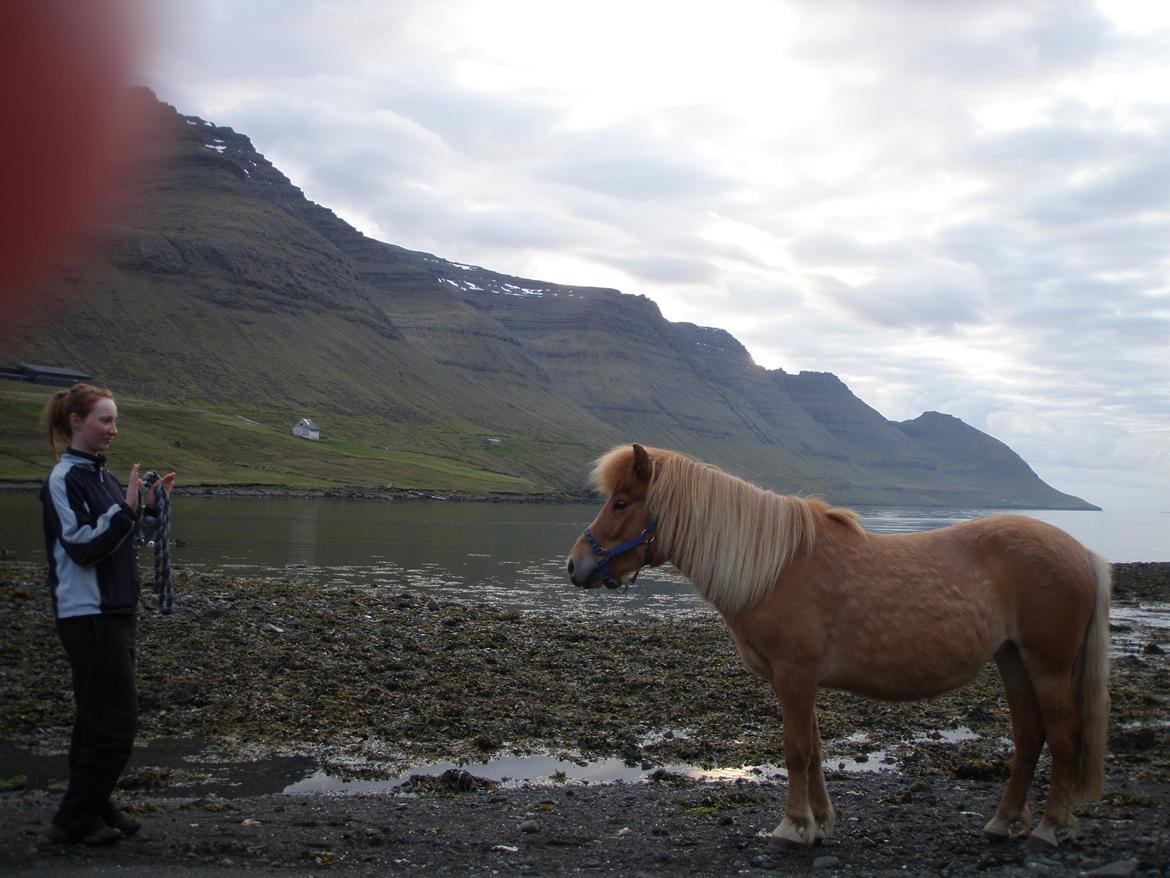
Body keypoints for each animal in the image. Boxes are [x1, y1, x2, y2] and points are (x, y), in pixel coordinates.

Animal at [568, 447, 1113, 852]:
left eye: (621, 503)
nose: (576, 566)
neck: (777, 567)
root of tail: (1082, 553)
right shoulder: (797, 679)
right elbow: (813, 750)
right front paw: (820, 821)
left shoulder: (794, 675)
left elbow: (796, 750)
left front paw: (792, 828)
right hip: (1013, 660)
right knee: (1029, 737)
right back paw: (1004, 821)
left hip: (1047, 666)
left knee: (1063, 737)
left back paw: (1050, 827)